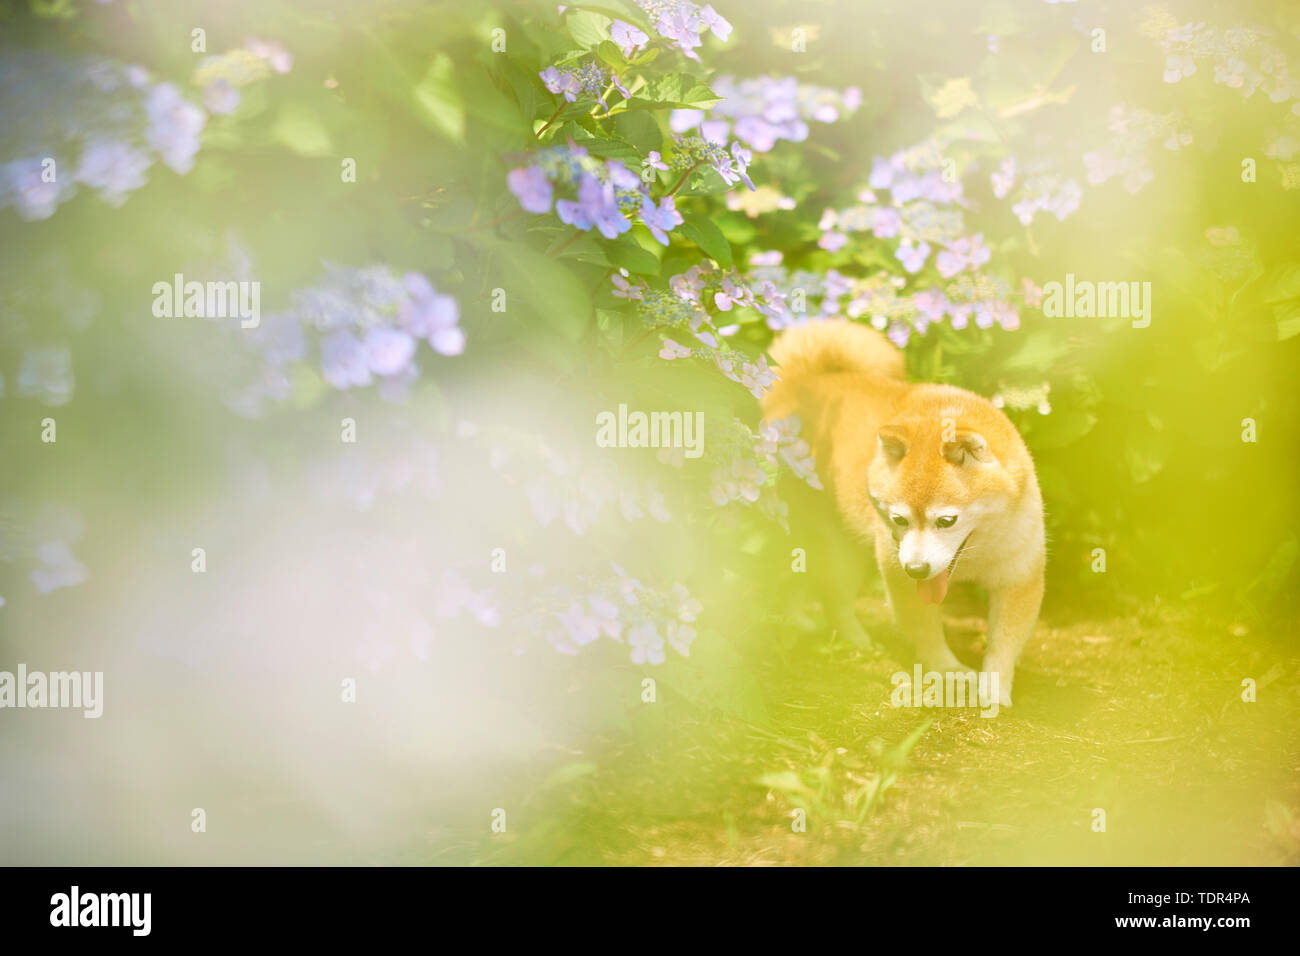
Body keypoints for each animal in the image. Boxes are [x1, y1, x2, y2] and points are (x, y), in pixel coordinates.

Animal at [759, 325, 1045, 707]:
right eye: (899, 519)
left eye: (946, 521)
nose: (917, 568)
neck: (973, 558)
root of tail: (797, 383)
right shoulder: (899, 575)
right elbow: (927, 632)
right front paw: (948, 670)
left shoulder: (1018, 576)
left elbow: (1004, 642)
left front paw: (994, 690)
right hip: (834, 551)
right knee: (830, 598)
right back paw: (854, 640)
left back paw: (801, 622)